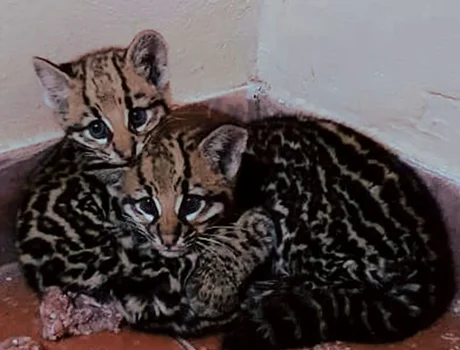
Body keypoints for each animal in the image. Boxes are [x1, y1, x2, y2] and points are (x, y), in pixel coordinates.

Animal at [110, 112, 456, 350]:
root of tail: (436, 259)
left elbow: (236, 238)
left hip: (314, 223)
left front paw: (213, 287)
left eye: (192, 203)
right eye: (147, 204)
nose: (168, 240)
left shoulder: (258, 212)